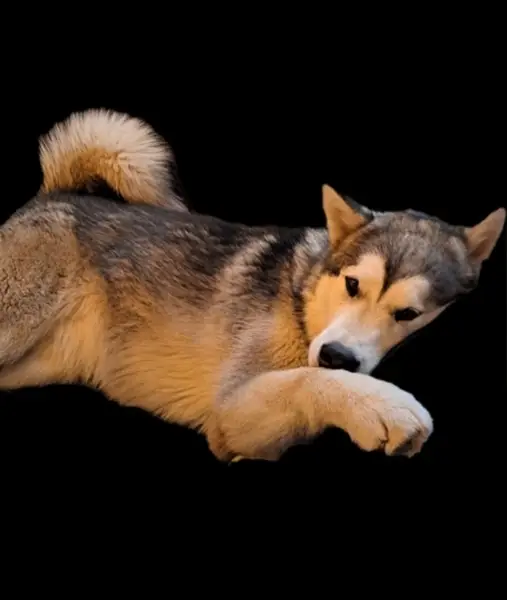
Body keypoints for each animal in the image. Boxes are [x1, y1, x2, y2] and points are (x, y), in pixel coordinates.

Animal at [0, 109, 504, 462]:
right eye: (353, 284)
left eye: (408, 314)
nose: (337, 355)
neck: (301, 300)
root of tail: (51, 196)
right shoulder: (230, 409)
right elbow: (307, 380)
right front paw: (383, 405)